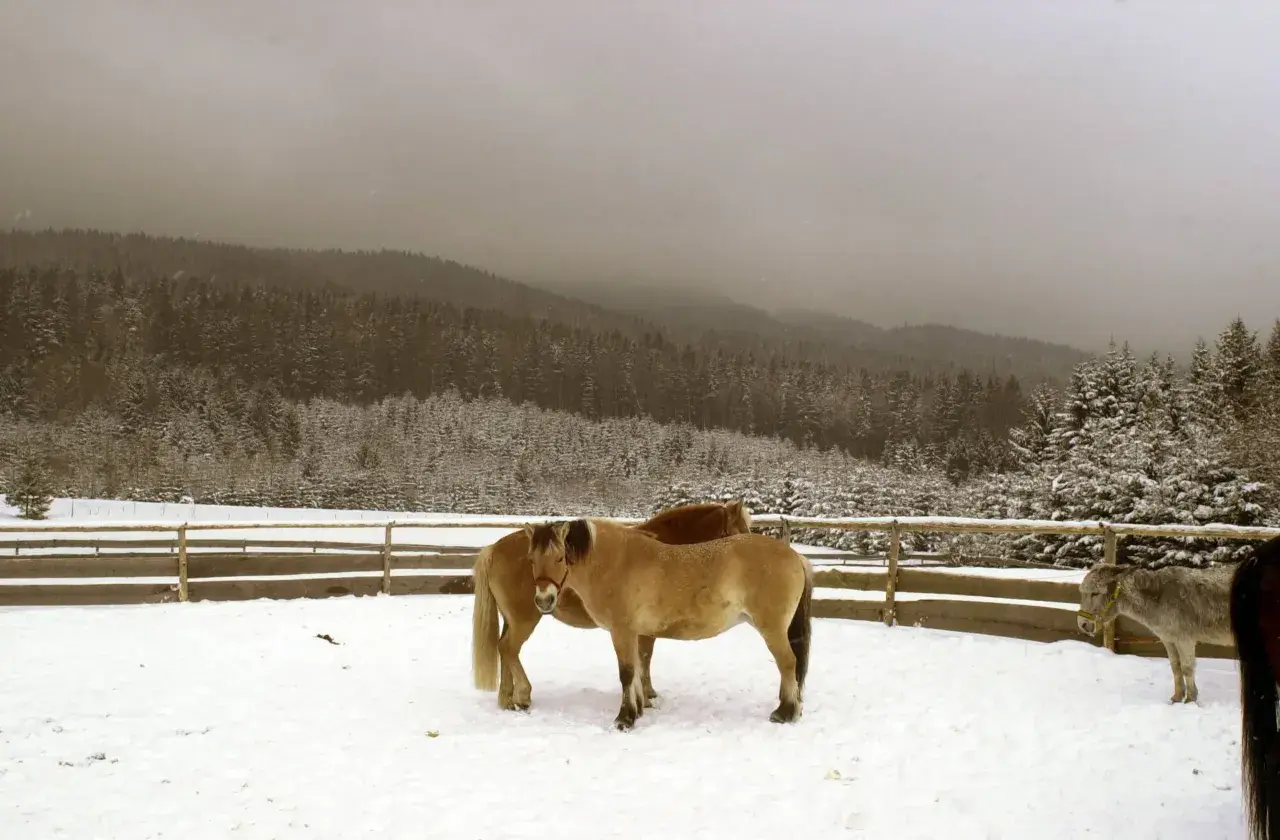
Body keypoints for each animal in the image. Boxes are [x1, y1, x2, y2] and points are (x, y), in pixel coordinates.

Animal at [470, 499, 752, 712]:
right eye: (738, 532)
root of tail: (494, 548)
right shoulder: (642, 629)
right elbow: (644, 658)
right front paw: (646, 695)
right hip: (525, 618)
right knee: (508, 648)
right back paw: (523, 694)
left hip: (512, 619)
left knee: (504, 649)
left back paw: (507, 699)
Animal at [525, 517, 813, 731]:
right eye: (531, 560)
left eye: (560, 558)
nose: (543, 600)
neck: (613, 563)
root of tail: (795, 556)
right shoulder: (636, 634)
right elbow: (638, 670)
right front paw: (638, 710)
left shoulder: (622, 631)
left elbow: (627, 673)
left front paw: (624, 719)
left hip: (772, 628)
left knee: (788, 663)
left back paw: (785, 712)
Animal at [1076, 560, 1234, 704]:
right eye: (1082, 593)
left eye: (1095, 593)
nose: (1082, 624)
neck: (1159, 599)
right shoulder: (1168, 639)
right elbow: (1175, 667)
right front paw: (1177, 697)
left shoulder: (1185, 639)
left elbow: (1187, 668)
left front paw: (1190, 700)